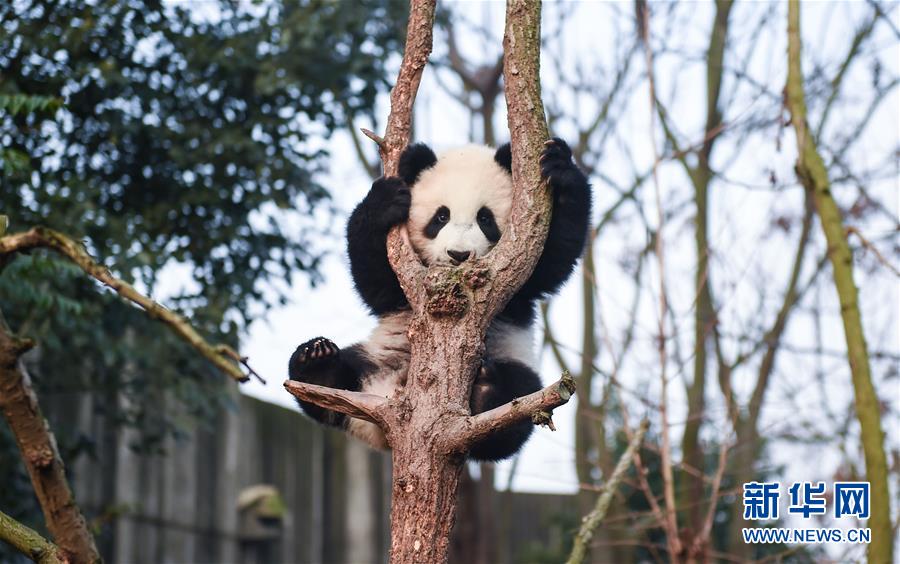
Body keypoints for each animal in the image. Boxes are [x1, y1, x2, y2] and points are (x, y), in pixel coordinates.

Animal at [288, 138, 596, 462]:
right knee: (327, 381)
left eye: (485, 218)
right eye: (441, 216)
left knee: (517, 402)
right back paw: (317, 361)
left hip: (514, 362)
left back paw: (487, 392)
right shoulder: (402, 286)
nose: (458, 255)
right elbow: (374, 280)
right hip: (375, 358)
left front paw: (560, 167)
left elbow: (553, 259)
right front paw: (384, 201)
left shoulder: (521, 280)